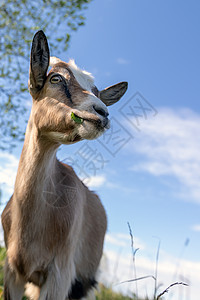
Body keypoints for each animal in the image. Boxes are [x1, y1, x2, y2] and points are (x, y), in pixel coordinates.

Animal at [1, 31, 127, 300]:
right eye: (56, 78)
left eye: (96, 91)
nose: (101, 112)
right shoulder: (12, 272)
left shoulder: (60, 274)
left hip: (84, 283)